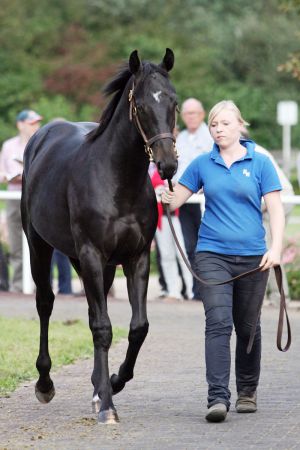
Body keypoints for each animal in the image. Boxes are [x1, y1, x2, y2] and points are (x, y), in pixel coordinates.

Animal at [22, 48, 179, 422]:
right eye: (142, 105)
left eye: (174, 102)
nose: (168, 165)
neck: (116, 179)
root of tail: (41, 137)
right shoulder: (92, 253)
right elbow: (104, 328)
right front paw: (108, 405)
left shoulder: (136, 258)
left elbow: (136, 327)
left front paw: (113, 383)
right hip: (40, 246)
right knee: (46, 303)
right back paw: (45, 383)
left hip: (94, 264)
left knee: (95, 311)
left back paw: (96, 386)